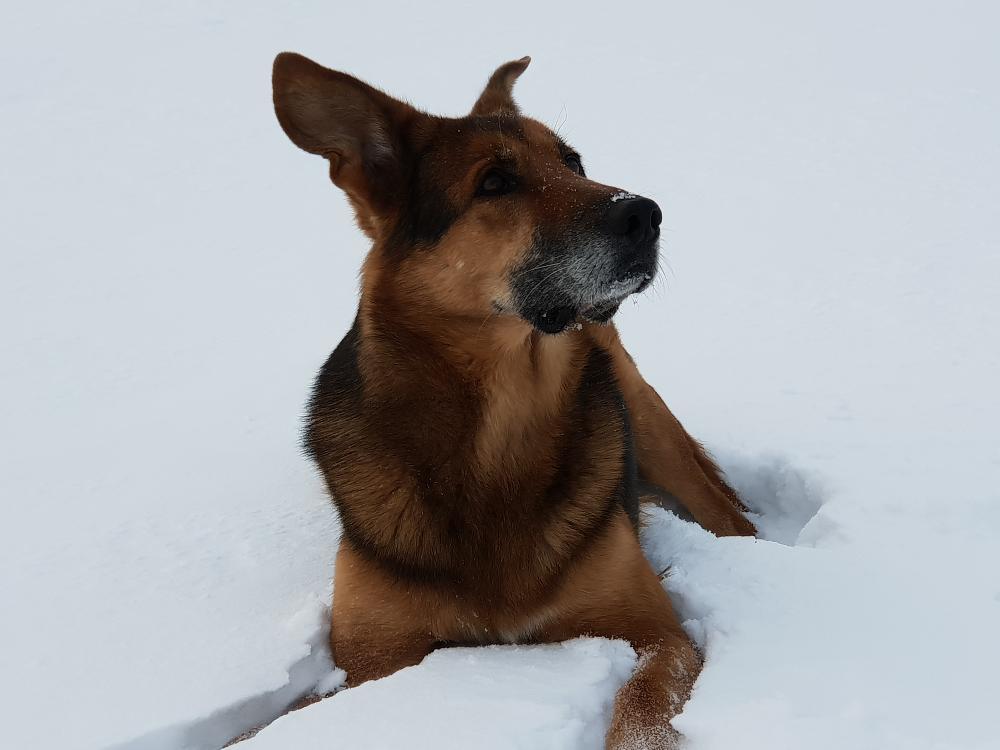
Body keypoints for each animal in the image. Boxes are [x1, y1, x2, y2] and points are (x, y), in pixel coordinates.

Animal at [270, 54, 752, 750]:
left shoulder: (657, 632)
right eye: (495, 182)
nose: (646, 214)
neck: (495, 437)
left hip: (655, 430)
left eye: (573, 161)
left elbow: (640, 710)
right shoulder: (370, 659)